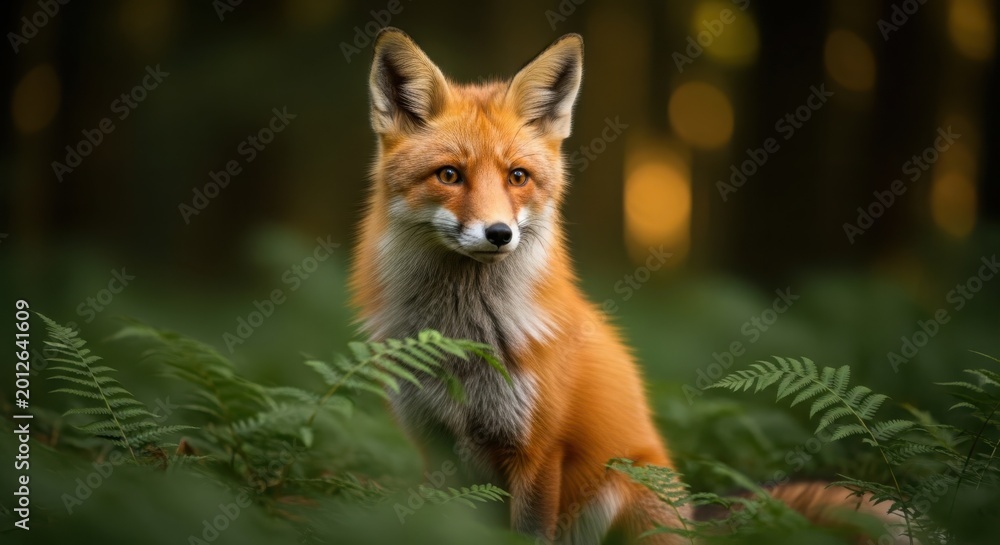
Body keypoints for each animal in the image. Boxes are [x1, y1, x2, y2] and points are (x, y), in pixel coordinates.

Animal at [349, 27, 909, 544]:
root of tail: (693, 522)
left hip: (622, 487)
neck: (463, 342)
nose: (499, 233)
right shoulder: (433, 448)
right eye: (449, 175)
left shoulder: (539, 452)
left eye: (517, 177)